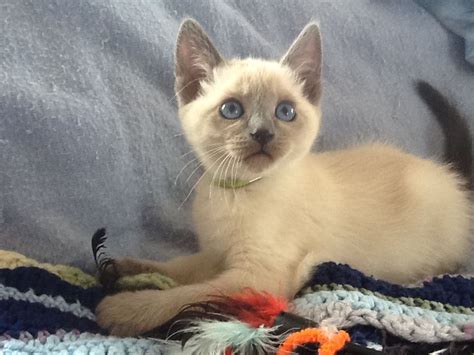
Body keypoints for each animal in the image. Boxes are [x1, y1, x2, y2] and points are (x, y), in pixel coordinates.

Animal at [95, 18, 470, 336]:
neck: (236, 191)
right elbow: (177, 268)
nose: (262, 134)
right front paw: (127, 267)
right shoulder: (214, 253)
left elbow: (187, 294)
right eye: (231, 109)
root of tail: (446, 173)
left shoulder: (255, 276)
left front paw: (125, 308)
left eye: (285, 112)